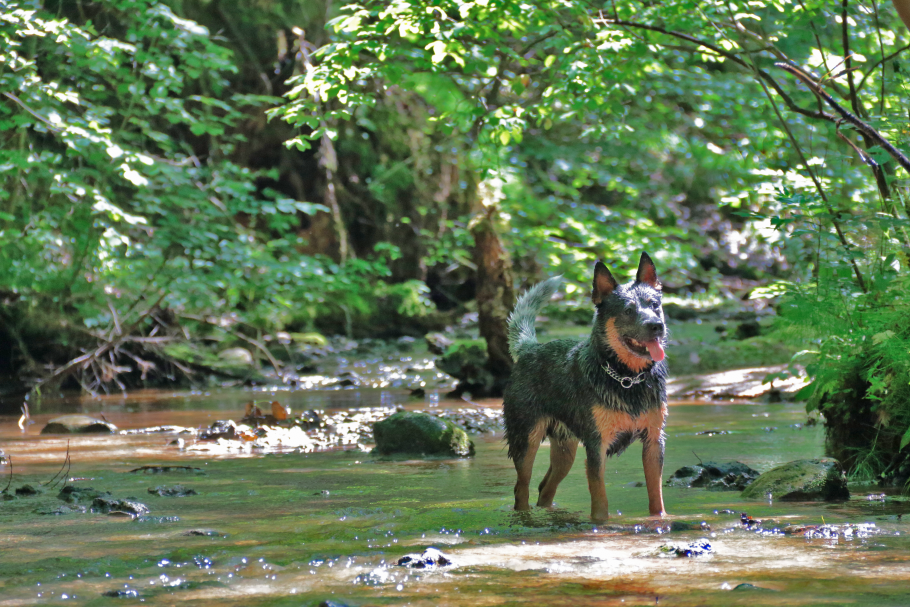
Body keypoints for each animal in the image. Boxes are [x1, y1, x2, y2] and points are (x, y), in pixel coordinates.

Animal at [502, 252, 668, 524]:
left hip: (565, 450)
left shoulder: (654, 441)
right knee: (522, 488)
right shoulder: (596, 445)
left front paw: (661, 519)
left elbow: (656, 495)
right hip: (526, 439)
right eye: (628, 310)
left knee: (545, 488)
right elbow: (599, 497)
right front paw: (600, 524)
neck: (627, 379)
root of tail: (530, 349)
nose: (656, 325)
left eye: (654, 304)